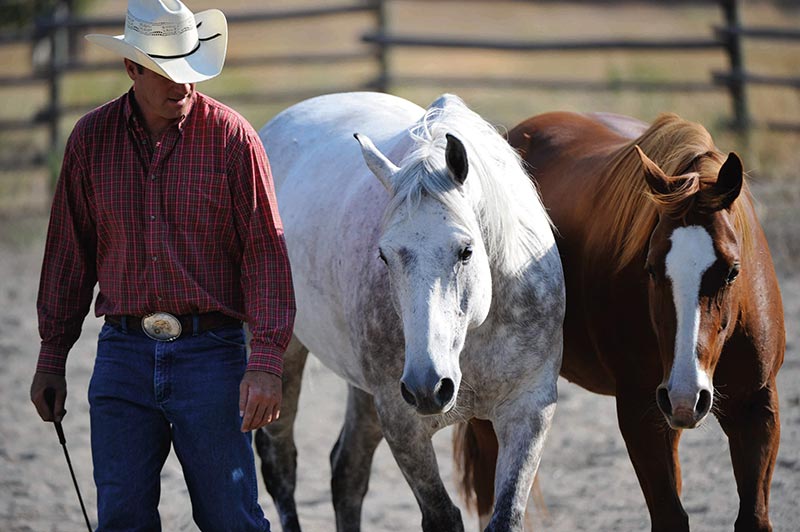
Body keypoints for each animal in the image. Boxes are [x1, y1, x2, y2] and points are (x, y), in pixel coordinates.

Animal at [460, 112, 784, 532]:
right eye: (650, 268)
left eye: (732, 271)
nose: (686, 393)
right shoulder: (640, 412)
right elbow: (670, 516)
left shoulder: (757, 408)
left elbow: (753, 516)